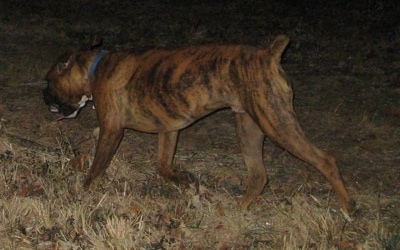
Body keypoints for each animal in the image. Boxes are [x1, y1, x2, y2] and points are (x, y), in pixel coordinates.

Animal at [44, 36, 356, 218]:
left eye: (49, 81)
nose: (43, 96)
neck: (95, 68)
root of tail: (269, 54)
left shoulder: (111, 130)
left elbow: (97, 168)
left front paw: (83, 193)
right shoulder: (169, 130)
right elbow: (163, 167)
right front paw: (187, 181)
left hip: (277, 124)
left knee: (325, 160)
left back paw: (349, 208)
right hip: (250, 128)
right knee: (259, 176)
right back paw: (238, 211)